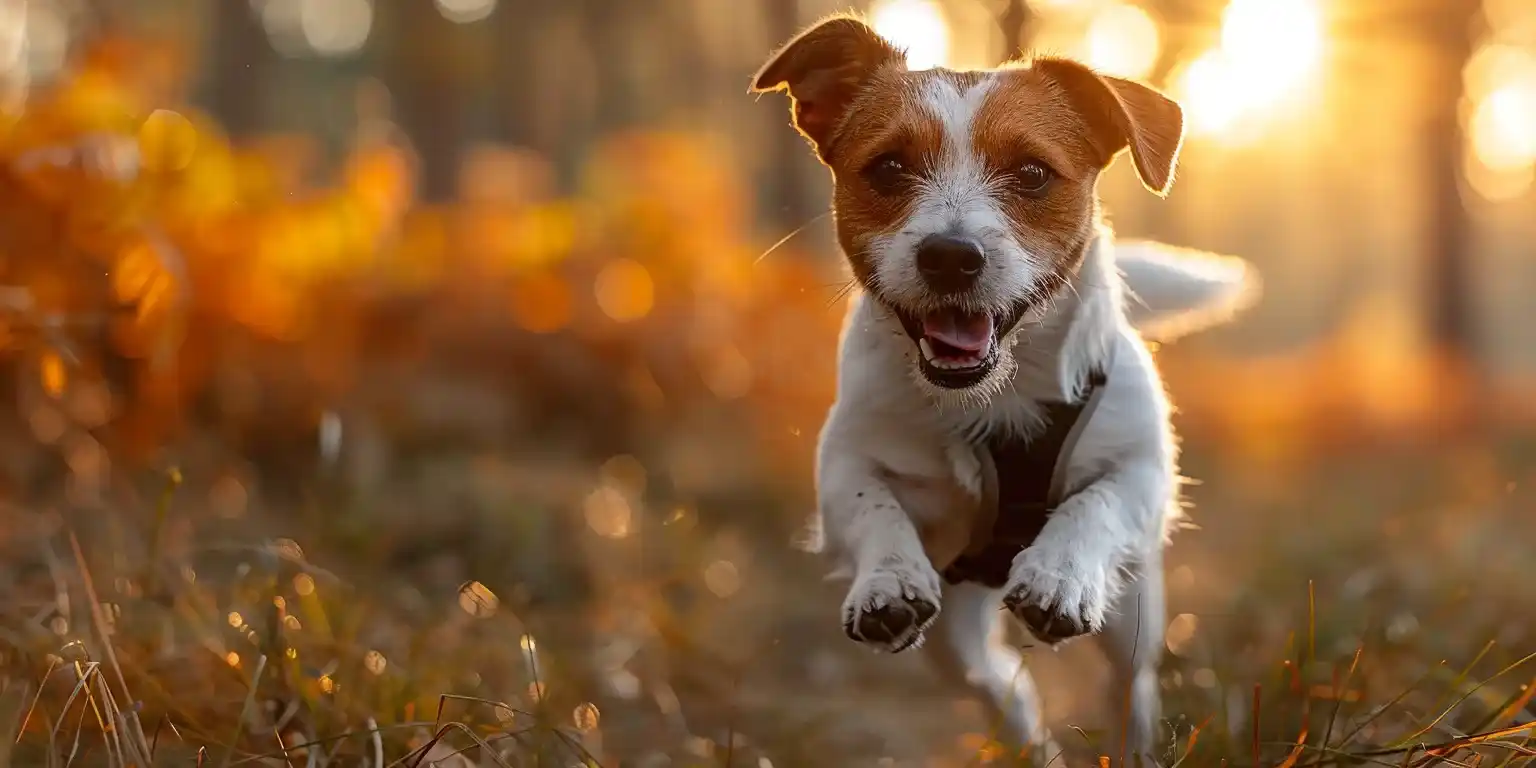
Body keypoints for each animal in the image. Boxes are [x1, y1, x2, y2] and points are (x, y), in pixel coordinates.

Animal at [746, 14, 1259, 764]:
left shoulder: (1141, 471)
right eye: (888, 167)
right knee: (1004, 685)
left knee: (1128, 684)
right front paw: (887, 578)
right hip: (954, 641)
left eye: (1032, 173)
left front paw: (1058, 573)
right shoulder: (846, 457)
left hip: (1134, 610)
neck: (995, 397)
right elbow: (870, 504)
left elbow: (1096, 504)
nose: (951, 256)